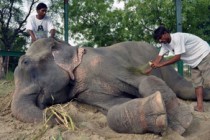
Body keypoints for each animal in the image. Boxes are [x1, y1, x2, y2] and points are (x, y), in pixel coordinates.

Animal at [11, 38, 210, 136]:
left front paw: (181, 124)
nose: (58, 117)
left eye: (25, 62)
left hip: (166, 67)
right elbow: (114, 106)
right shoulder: (86, 92)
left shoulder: (107, 64)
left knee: (184, 88)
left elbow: (143, 80)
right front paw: (157, 115)